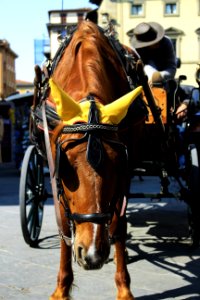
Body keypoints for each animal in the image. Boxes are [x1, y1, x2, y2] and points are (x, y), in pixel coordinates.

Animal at [38, 19, 145, 300]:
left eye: (118, 165)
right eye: (65, 168)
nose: (93, 254)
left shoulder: (126, 171)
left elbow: (119, 223)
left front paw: (124, 287)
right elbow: (64, 226)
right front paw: (61, 288)